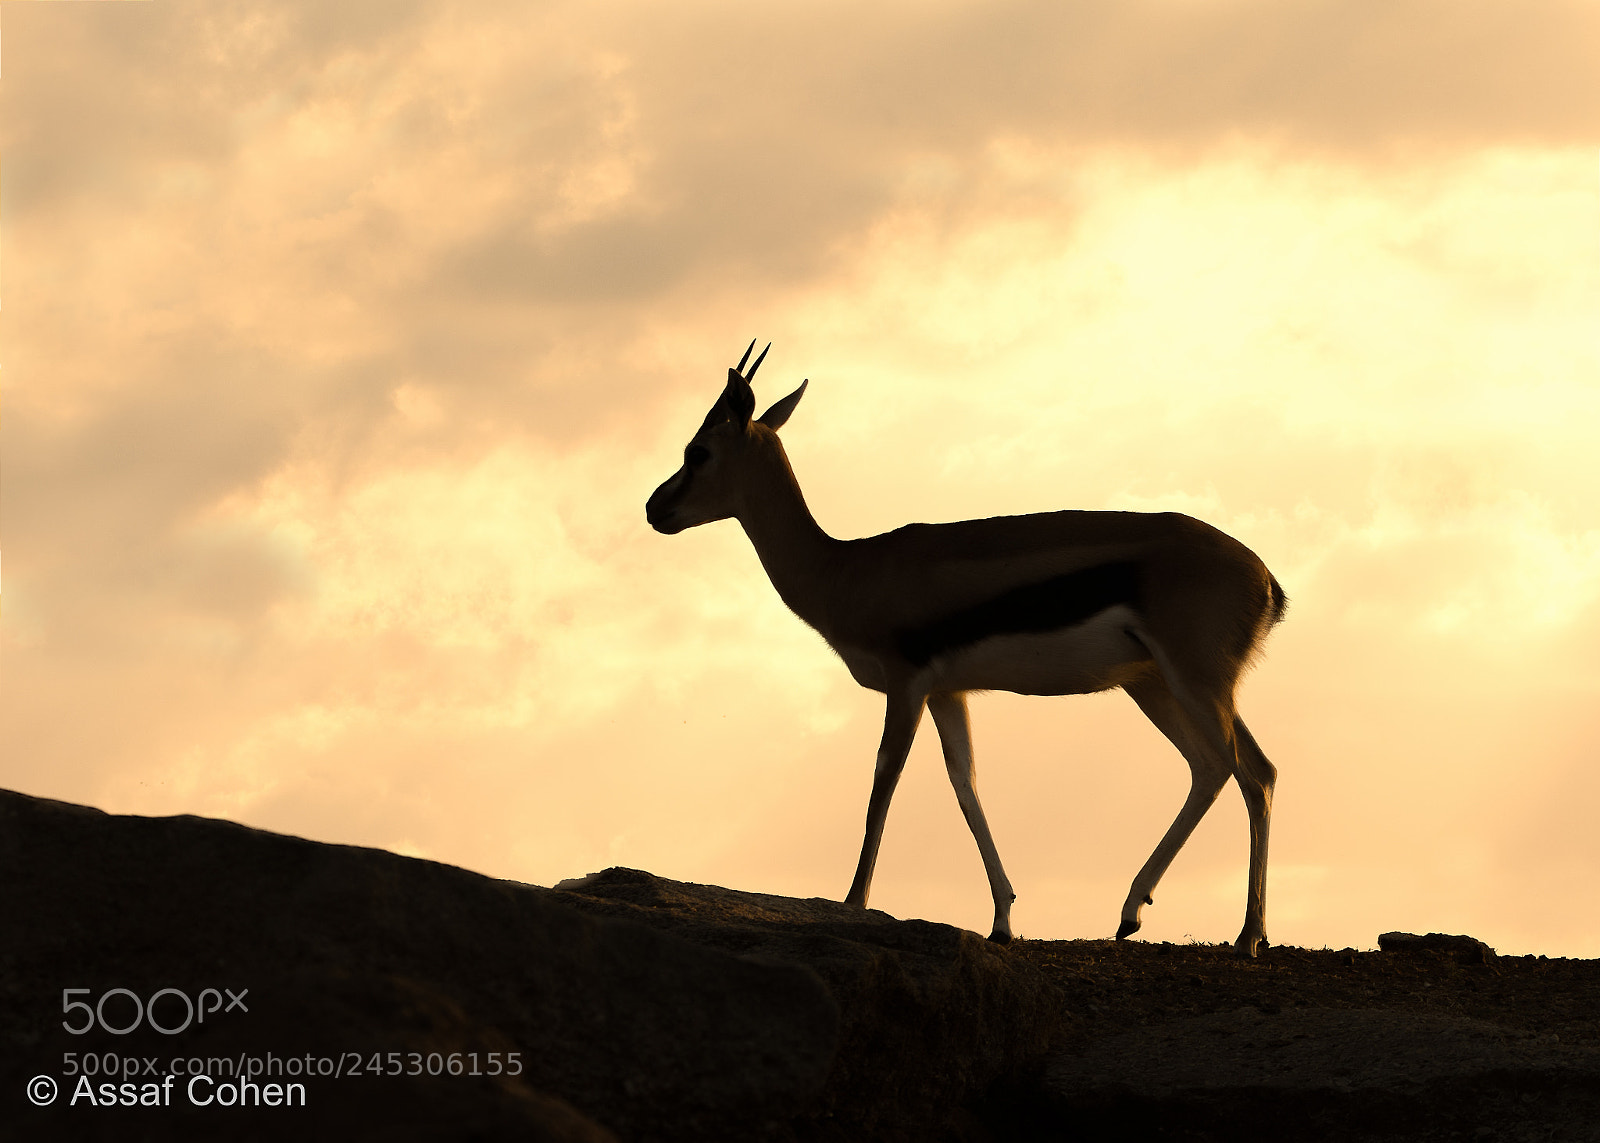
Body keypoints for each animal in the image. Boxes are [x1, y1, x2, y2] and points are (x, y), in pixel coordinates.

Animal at [646, 343, 1286, 956]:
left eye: (697, 451)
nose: (655, 509)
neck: (846, 568)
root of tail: (1265, 578)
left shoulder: (905, 685)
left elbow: (884, 779)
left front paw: (853, 901)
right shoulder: (948, 692)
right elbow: (965, 785)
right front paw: (1002, 919)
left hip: (1193, 683)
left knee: (1241, 770)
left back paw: (1222, 931)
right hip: (1158, 685)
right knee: (1229, 769)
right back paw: (1162, 918)